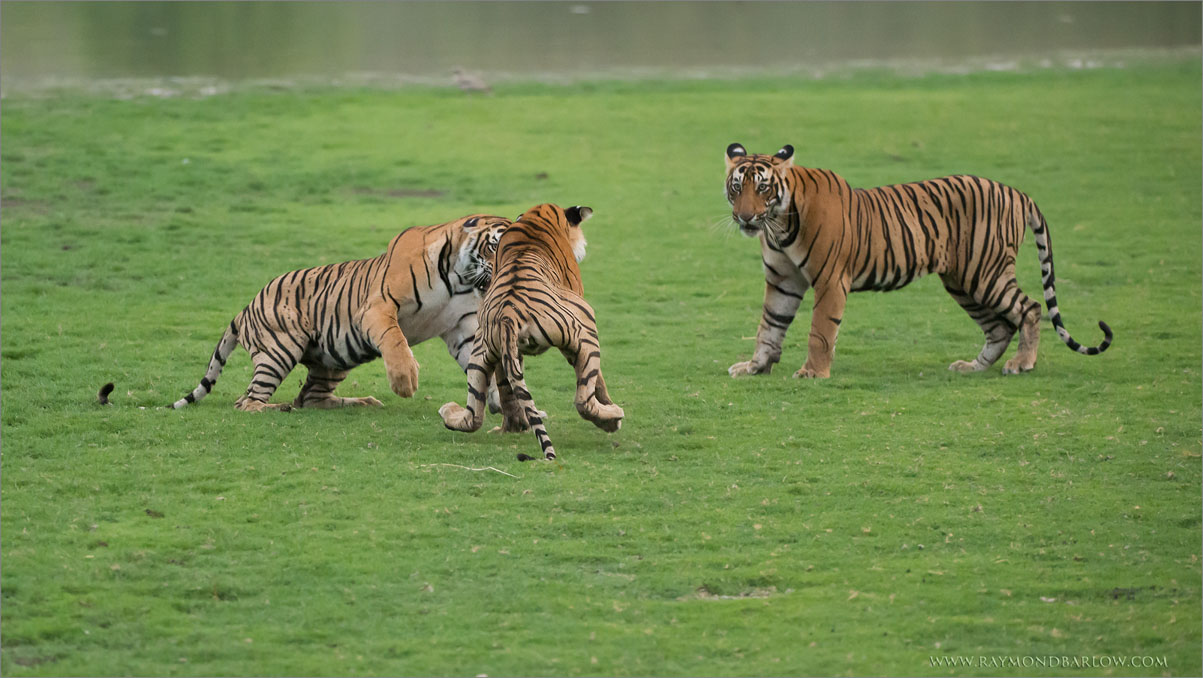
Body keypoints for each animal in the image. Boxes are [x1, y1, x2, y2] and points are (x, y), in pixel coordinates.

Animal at [168, 213, 507, 411]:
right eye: (496, 245)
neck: (459, 279)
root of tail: (244, 309)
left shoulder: (461, 329)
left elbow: (480, 366)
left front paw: (498, 402)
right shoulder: (377, 307)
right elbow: (395, 340)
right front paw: (405, 381)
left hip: (336, 357)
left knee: (310, 398)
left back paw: (361, 402)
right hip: (280, 349)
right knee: (247, 401)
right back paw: (277, 407)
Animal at [440, 200, 625, 461]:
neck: (537, 217)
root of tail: (508, 316)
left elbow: (507, 388)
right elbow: (598, 381)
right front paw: (608, 403)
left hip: (479, 352)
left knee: (473, 415)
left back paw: (448, 411)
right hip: (586, 326)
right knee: (583, 400)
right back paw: (613, 417)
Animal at [721, 143, 1106, 379]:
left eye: (763, 188)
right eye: (737, 187)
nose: (745, 217)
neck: (779, 224)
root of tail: (1017, 191)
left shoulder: (830, 280)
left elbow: (821, 331)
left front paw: (812, 372)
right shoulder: (782, 281)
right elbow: (769, 326)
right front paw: (755, 366)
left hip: (986, 273)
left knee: (1030, 308)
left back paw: (1022, 363)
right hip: (962, 281)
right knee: (999, 327)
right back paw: (972, 367)